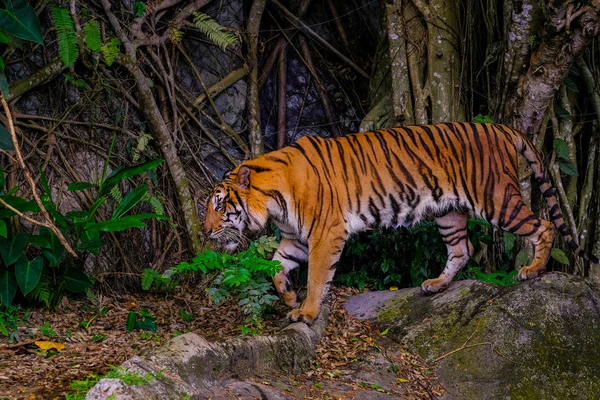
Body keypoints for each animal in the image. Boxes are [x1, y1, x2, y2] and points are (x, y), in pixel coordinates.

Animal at [203, 122, 600, 324]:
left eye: (220, 206)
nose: (205, 231)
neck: (275, 201)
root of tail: (501, 127)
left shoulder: (325, 233)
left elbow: (317, 277)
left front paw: (306, 312)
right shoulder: (296, 238)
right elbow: (275, 266)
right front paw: (287, 295)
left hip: (497, 198)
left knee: (544, 225)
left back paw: (532, 270)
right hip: (448, 211)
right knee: (462, 248)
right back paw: (437, 285)